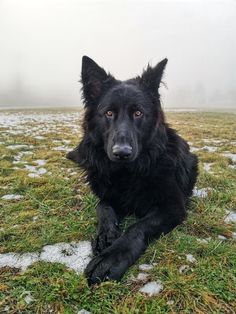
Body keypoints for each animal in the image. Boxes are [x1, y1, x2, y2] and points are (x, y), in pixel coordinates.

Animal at [67, 55, 198, 284]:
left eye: (138, 113)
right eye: (109, 113)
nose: (122, 152)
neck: (126, 172)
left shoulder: (172, 206)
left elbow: (138, 226)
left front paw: (110, 259)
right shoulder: (107, 194)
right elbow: (103, 207)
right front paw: (107, 234)